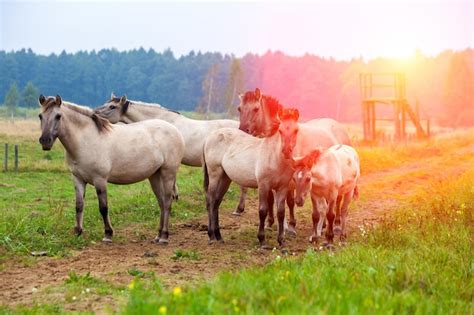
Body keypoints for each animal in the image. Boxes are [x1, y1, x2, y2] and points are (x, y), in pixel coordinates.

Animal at [38, 95, 185, 244]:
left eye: (58, 116)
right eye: (40, 116)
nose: (45, 141)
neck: (86, 140)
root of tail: (175, 130)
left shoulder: (100, 180)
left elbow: (103, 207)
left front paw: (108, 234)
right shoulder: (78, 179)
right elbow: (79, 206)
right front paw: (78, 232)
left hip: (168, 173)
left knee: (167, 202)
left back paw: (164, 236)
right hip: (154, 175)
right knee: (161, 202)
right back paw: (158, 235)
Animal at [204, 108, 300, 249]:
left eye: (296, 130)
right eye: (281, 131)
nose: (287, 151)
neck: (274, 157)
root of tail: (210, 136)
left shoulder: (282, 187)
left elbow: (281, 212)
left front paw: (282, 242)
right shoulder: (263, 186)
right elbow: (263, 210)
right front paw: (262, 241)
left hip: (225, 178)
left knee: (216, 202)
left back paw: (219, 236)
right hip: (215, 174)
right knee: (210, 201)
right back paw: (211, 236)